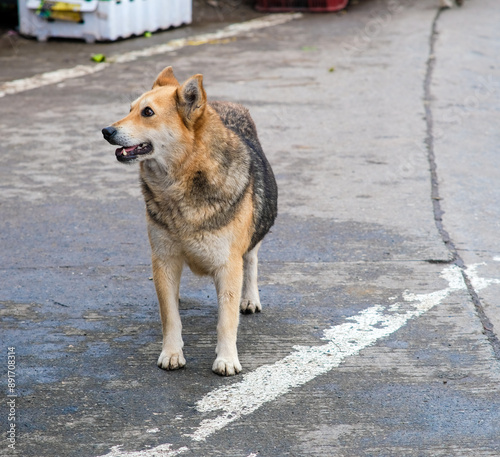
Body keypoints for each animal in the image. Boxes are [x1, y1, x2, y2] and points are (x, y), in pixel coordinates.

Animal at [102, 67, 280, 374]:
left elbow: (226, 320)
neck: (182, 180)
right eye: (130, 109)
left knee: (251, 260)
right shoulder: (164, 259)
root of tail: (223, 103)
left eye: (147, 112)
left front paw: (226, 358)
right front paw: (172, 353)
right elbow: (170, 316)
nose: (106, 131)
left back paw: (249, 297)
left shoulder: (228, 266)